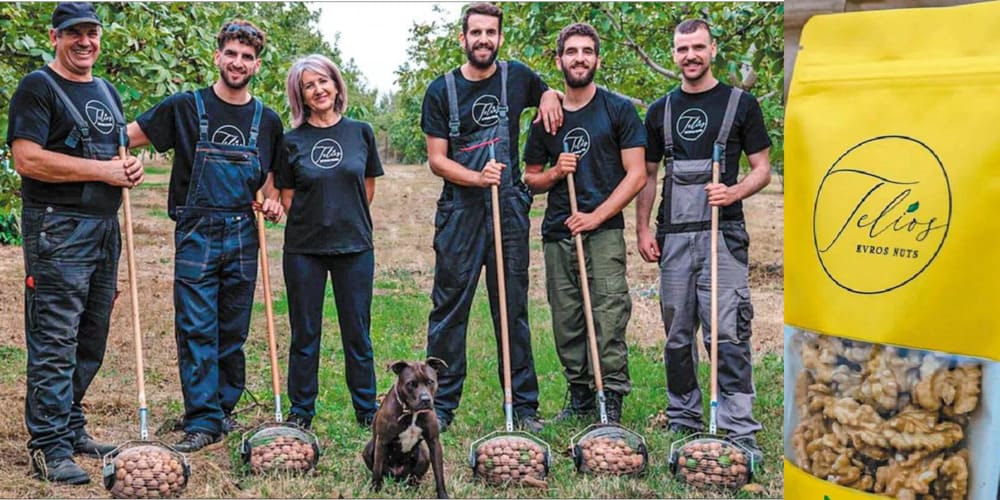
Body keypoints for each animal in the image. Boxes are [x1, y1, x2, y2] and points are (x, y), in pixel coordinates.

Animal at [364, 358, 450, 498]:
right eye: (411, 384)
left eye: (430, 382)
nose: (425, 399)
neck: (412, 412)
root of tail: (397, 475)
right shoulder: (382, 442)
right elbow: (377, 469)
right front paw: (375, 490)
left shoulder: (434, 442)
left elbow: (439, 473)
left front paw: (443, 495)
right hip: (368, 449)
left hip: (424, 456)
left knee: (414, 477)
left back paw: (412, 487)